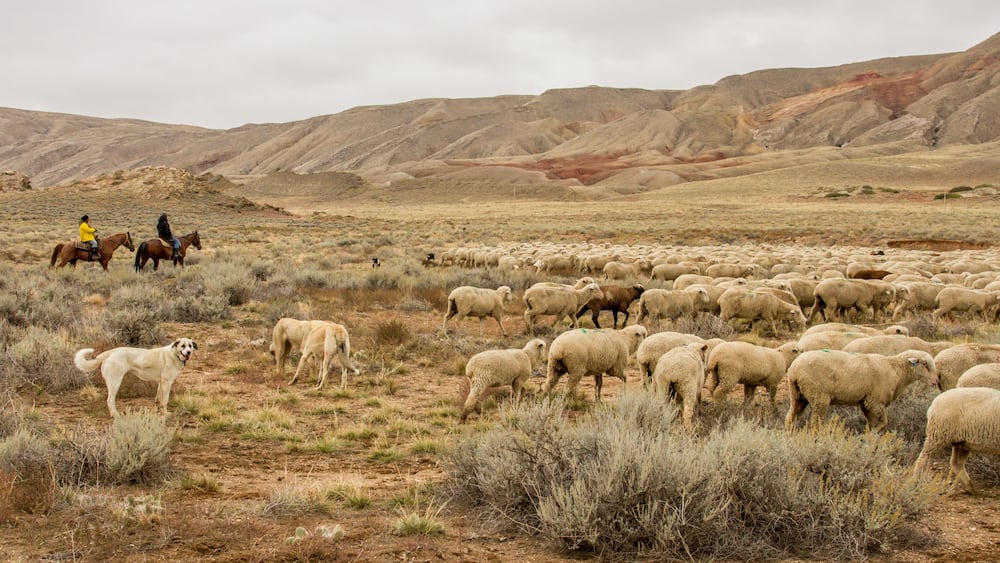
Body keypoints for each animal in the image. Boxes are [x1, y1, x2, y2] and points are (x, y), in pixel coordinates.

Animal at [785, 349, 937, 432]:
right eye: (924, 364)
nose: (936, 380)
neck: (895, 370)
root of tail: (795, 370)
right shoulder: (875, 402)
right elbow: (883, 423)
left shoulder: (865, 403)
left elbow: (873, 424)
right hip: (818, 396)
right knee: (816, 424)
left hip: (797, 395)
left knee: (790, 418)